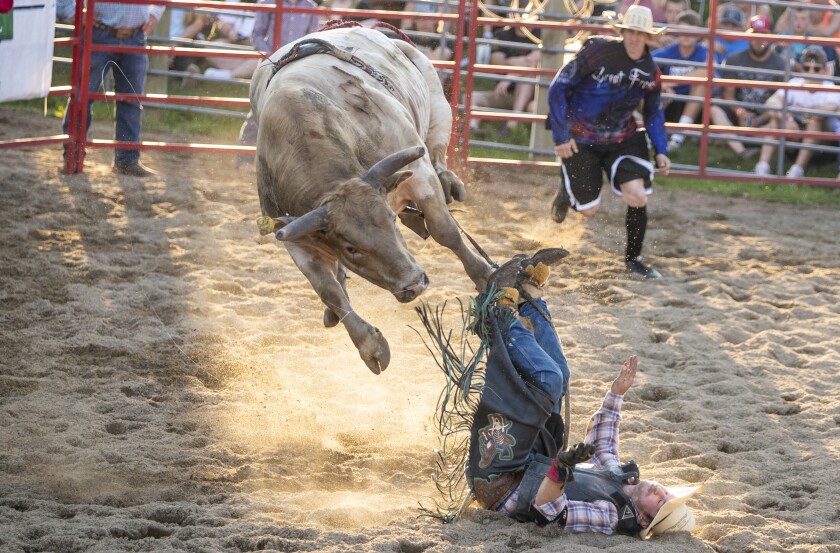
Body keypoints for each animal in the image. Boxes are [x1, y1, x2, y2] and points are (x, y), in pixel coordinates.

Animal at [250, 26, 493, 375]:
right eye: (352, 247)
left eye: (389, 221)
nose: (414, 285)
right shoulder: (296, 237)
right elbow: (328, 291)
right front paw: (370, 346)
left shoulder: (417, 170)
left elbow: (445, 230)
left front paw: (484, 275)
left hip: (437, 106)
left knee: (437, 151)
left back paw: (450, 182)